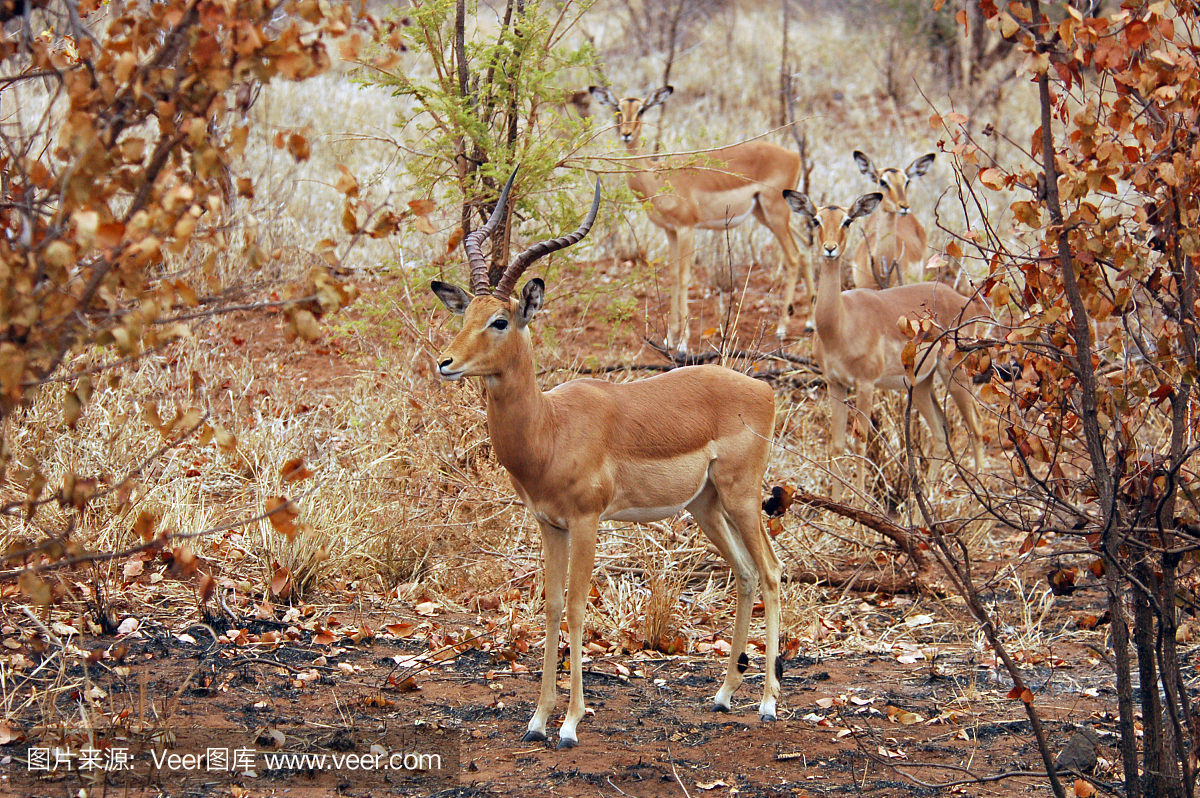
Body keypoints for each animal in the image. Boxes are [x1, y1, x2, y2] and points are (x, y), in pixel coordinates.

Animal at [432, 171, 787, 748]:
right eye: (466, 314)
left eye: (501, 321)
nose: (446, 363)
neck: (549, 428)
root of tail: (763, 389)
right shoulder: (549, 524)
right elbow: (552, 607)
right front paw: (537, 720)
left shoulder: (586, 522)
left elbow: (578, 609)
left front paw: (570, 724)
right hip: (705, 506)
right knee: (745, 574)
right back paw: (722, 695)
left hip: (741, 496)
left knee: (773, 572)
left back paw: (769, 704)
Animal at [585, 85, 811, 350]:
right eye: (618, 109)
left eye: (641, 109)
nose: (626, 134)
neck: (656, 177)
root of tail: (794, 155)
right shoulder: (670, 231)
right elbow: (673, 276)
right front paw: (669, 338)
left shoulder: (687, 229)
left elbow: (684, 277)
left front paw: (683, 342)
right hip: (767, 215)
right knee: (806, 249)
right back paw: (810, 323)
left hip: (775, 213)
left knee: (793, 257)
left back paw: (783, 329)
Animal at [782, 189, 979, 499]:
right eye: (816, 219)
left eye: (847, 220)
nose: (830, 249)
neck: (840, 324)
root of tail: (962, 300)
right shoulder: (835, 383)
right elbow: (837, 444)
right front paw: (837, 505)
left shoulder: (865, 385)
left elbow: (859, 443)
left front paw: (861, 505)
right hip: (921, 384)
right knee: (940, 431)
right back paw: (924, 500)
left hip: (956, 371)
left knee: (976, 430)